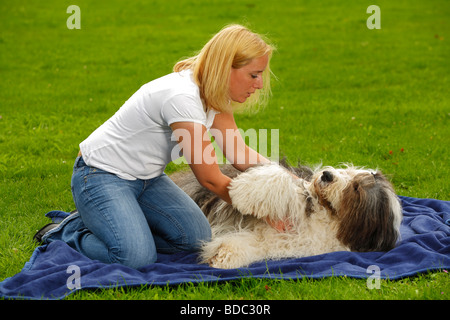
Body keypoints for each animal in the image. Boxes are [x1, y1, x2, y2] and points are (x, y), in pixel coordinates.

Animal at [171, 161, 402, 268]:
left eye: (355, 189)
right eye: (345, 170)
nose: (327, 175)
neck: (326, 217)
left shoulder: (283, 241)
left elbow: (254, 245)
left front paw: (224, 254)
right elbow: (281, 180)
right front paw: (243, 191)